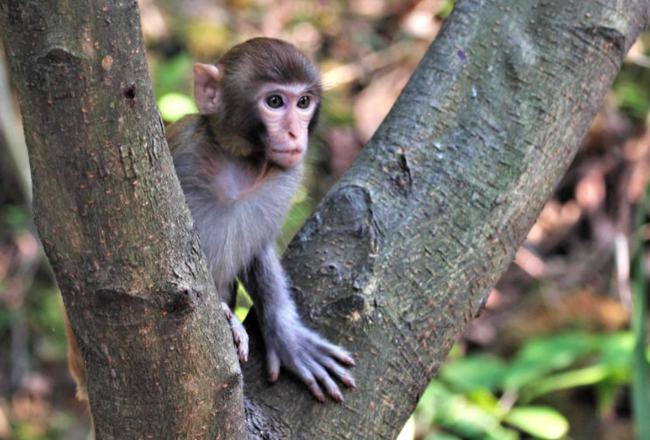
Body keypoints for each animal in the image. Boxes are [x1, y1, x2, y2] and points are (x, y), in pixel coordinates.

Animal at [64, 37, 354, 406]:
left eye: (304, 102)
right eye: (274, 101)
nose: (293, 133)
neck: (240, 166)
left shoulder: (286, 177)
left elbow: (258, 250)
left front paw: (287, 335)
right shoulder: (182, 153)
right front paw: (227, 319)